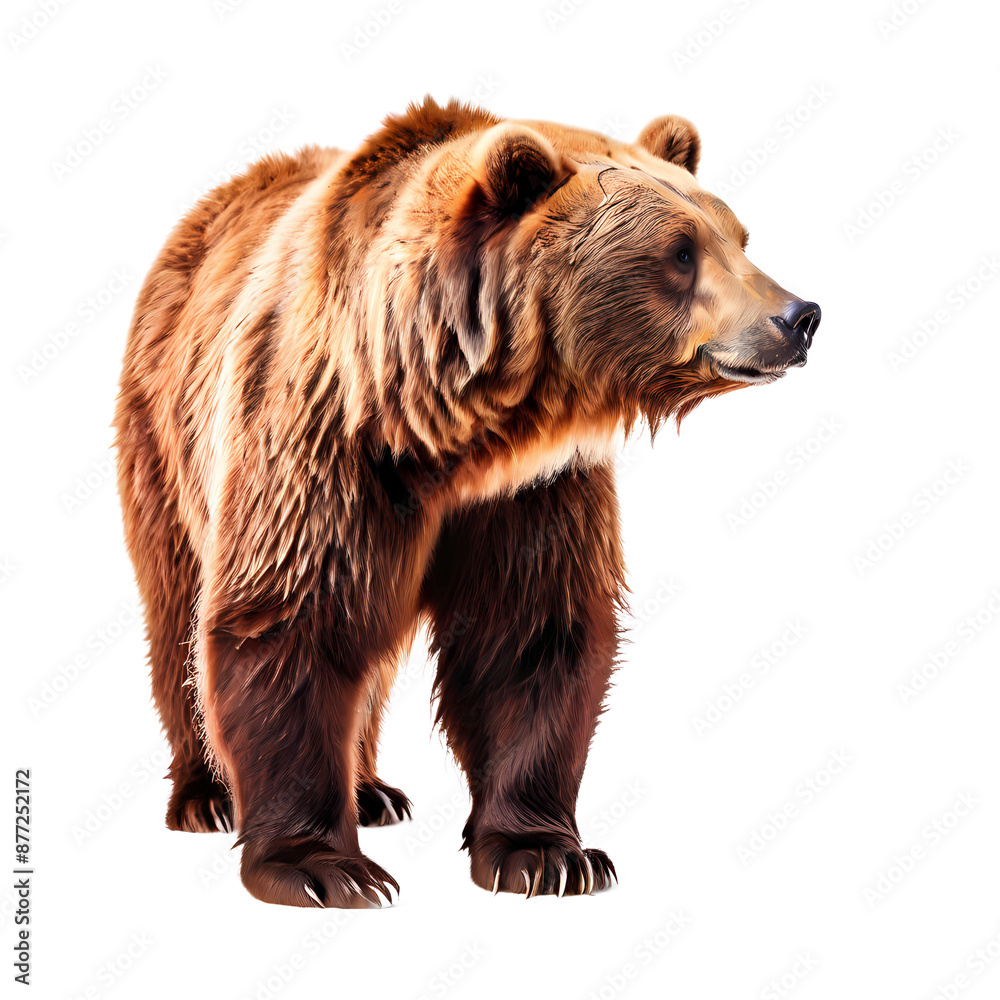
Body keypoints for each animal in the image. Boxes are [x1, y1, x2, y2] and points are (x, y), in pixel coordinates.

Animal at [114, 96, 820, 907]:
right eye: (680, 250)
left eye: (737, 235)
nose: (799, 316)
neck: (448, 429)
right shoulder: (322, 442)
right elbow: (292, 619)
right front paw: (320, 866)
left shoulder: (530, 489)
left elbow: (531, 635)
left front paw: (546, 854)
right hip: (164, 435)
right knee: (176, 613)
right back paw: (207, 794)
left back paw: (372, 790)